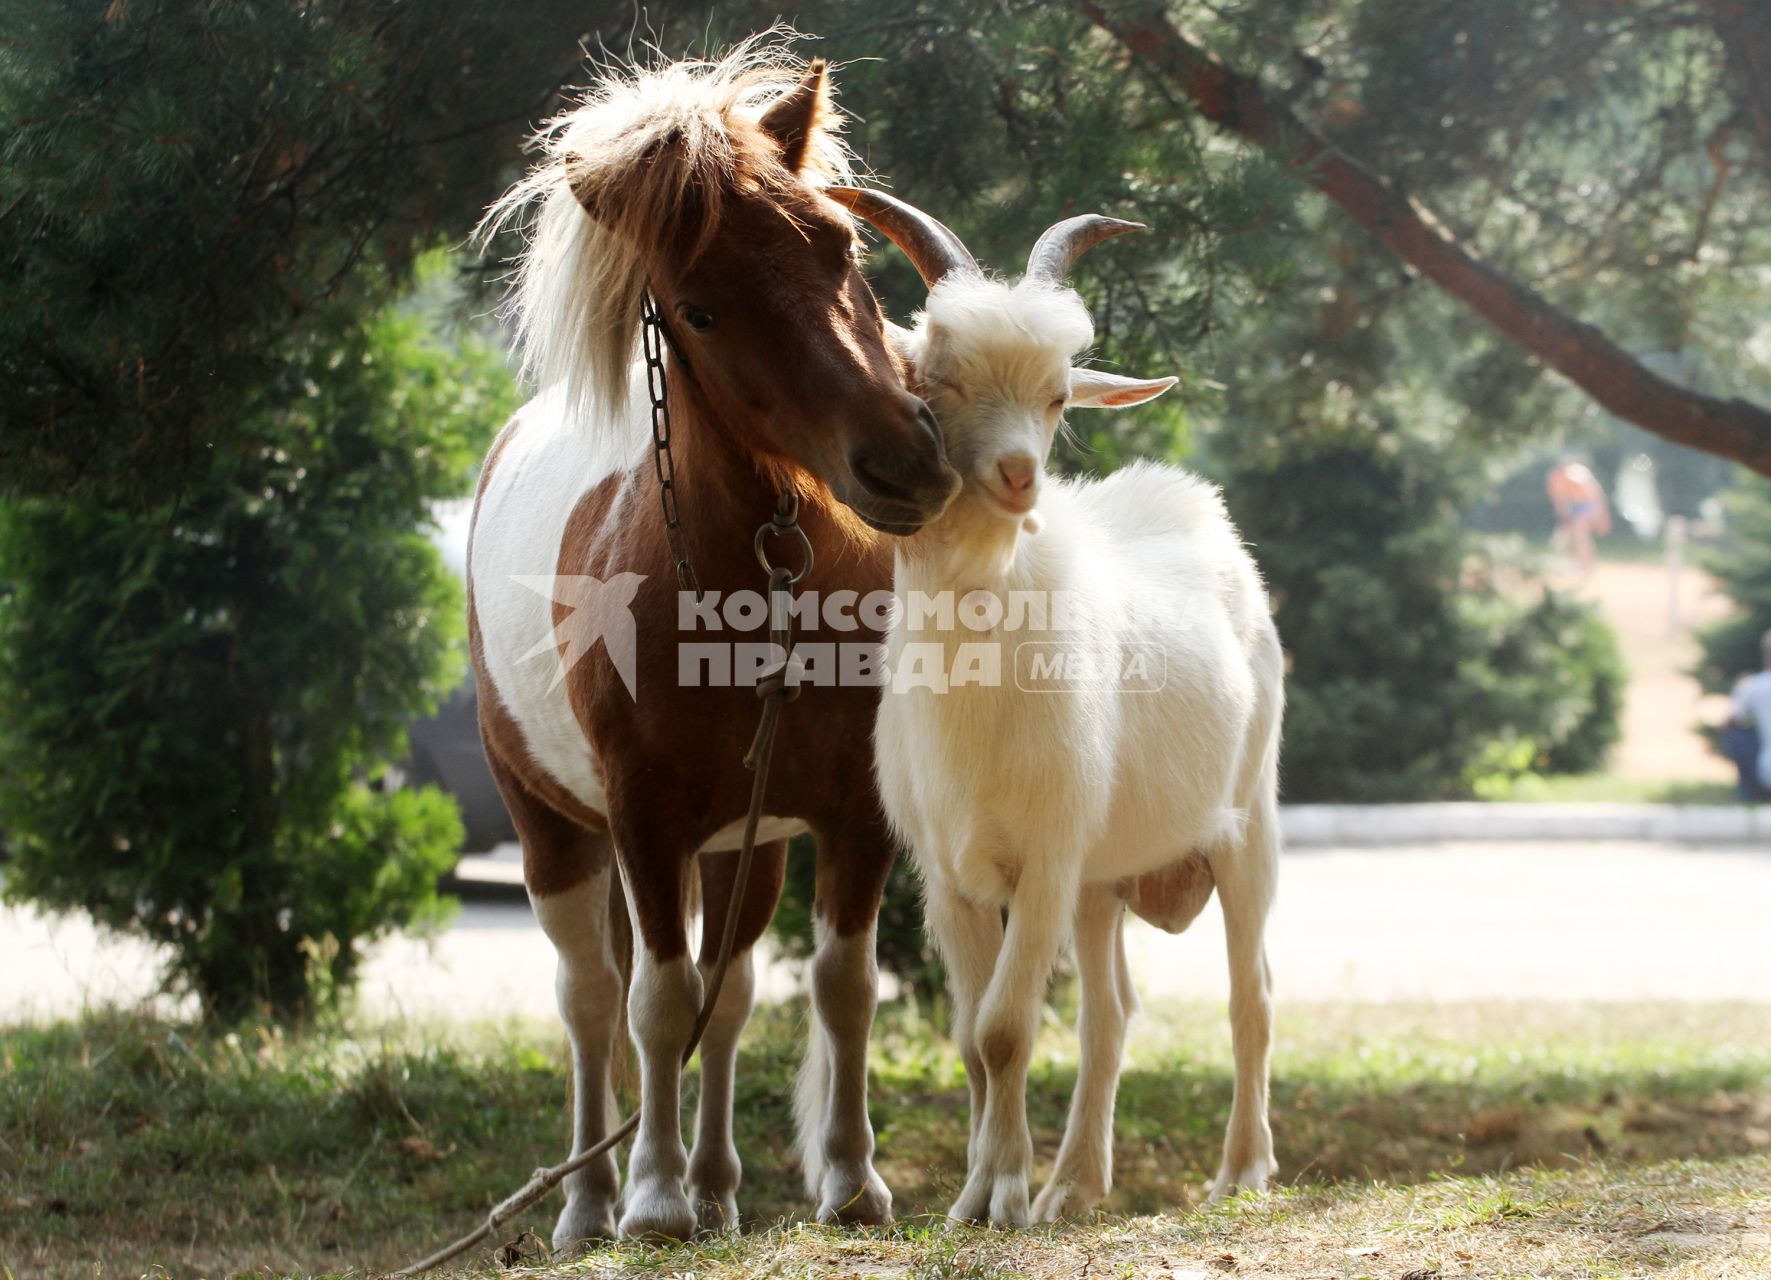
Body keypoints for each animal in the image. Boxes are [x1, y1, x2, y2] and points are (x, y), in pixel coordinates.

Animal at [471, 50, 956, 1253]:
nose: (904, 463)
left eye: (842, 246)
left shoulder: (850, 817)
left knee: (723, 1001)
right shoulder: (643, 819)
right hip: (554, 830)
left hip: (747, 845)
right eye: (698, 308)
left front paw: (850, 1180)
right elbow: (652, 1001)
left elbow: (837, 986)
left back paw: (719, 1185)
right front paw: (649, 1198)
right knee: (593, 997)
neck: (762, 597)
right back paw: (593, 1201)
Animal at [835, 187, 1282, 1225]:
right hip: (1101, 879)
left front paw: (1000, 1193)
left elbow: (1005, 1031)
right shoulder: (949, 875)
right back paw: (1074, 1185)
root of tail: (1195, 508)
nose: (1017, 476)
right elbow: (971, 1037)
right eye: (937, 382)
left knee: (1251, 995)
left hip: (1247, 822)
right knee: (1109, 1015)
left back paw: (1241, 1170)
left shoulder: (1043, 858)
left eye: (1054, 395)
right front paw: (978, 1190)